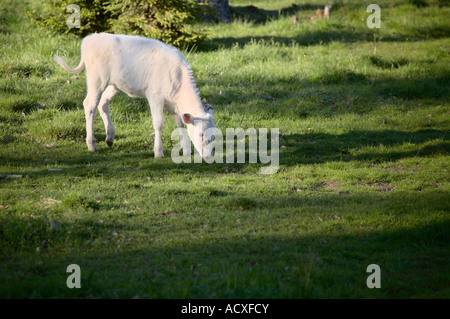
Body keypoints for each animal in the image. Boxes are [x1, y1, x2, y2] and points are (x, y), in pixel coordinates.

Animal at [54, 31, 216, 159]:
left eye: (214, 136)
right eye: (201, 134)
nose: (208, 157)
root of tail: (90, 38)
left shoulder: (175, 106)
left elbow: (180, 125)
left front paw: (187, 151)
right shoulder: (155, 97)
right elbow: (159, 124)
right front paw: (158, 152)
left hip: (114, 84)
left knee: (103, 103)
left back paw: (109, 138)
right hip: (97, 79)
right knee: (90, 105)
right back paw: (91, 144)